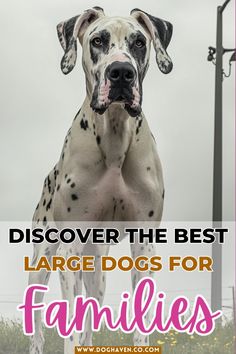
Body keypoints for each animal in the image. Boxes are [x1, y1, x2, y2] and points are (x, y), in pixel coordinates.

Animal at [29, 6, 173, 354]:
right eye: (98, 40)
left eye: (139, 42)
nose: (121, 72)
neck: (115, 138)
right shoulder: (69, 248)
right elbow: (68, 322)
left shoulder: (144, 241)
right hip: (43, 261)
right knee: (37, 320)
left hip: (97, 267)